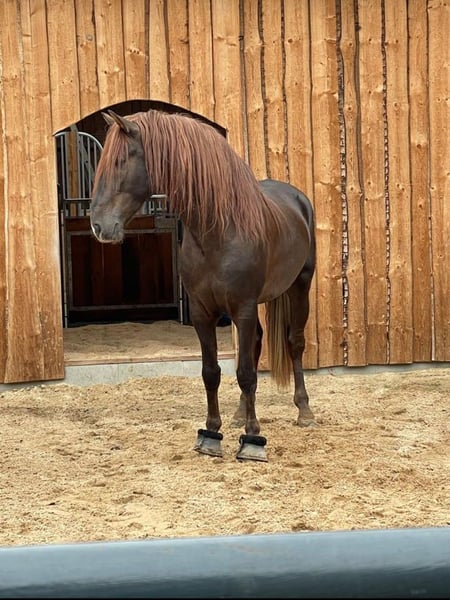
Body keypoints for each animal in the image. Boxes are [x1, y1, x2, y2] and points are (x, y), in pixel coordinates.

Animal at [90, 108, 317, 462]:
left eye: (120, 161)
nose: (98, 226)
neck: (217, 232)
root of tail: (297, 199)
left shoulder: (243, 308)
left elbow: (246, 373)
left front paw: (253, 440)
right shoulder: (202, 311)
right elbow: (212, 372)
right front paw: (212, 434)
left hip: (299, 286)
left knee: (294, 343)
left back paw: (304, 412)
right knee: (255, 345)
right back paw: (240, 413)